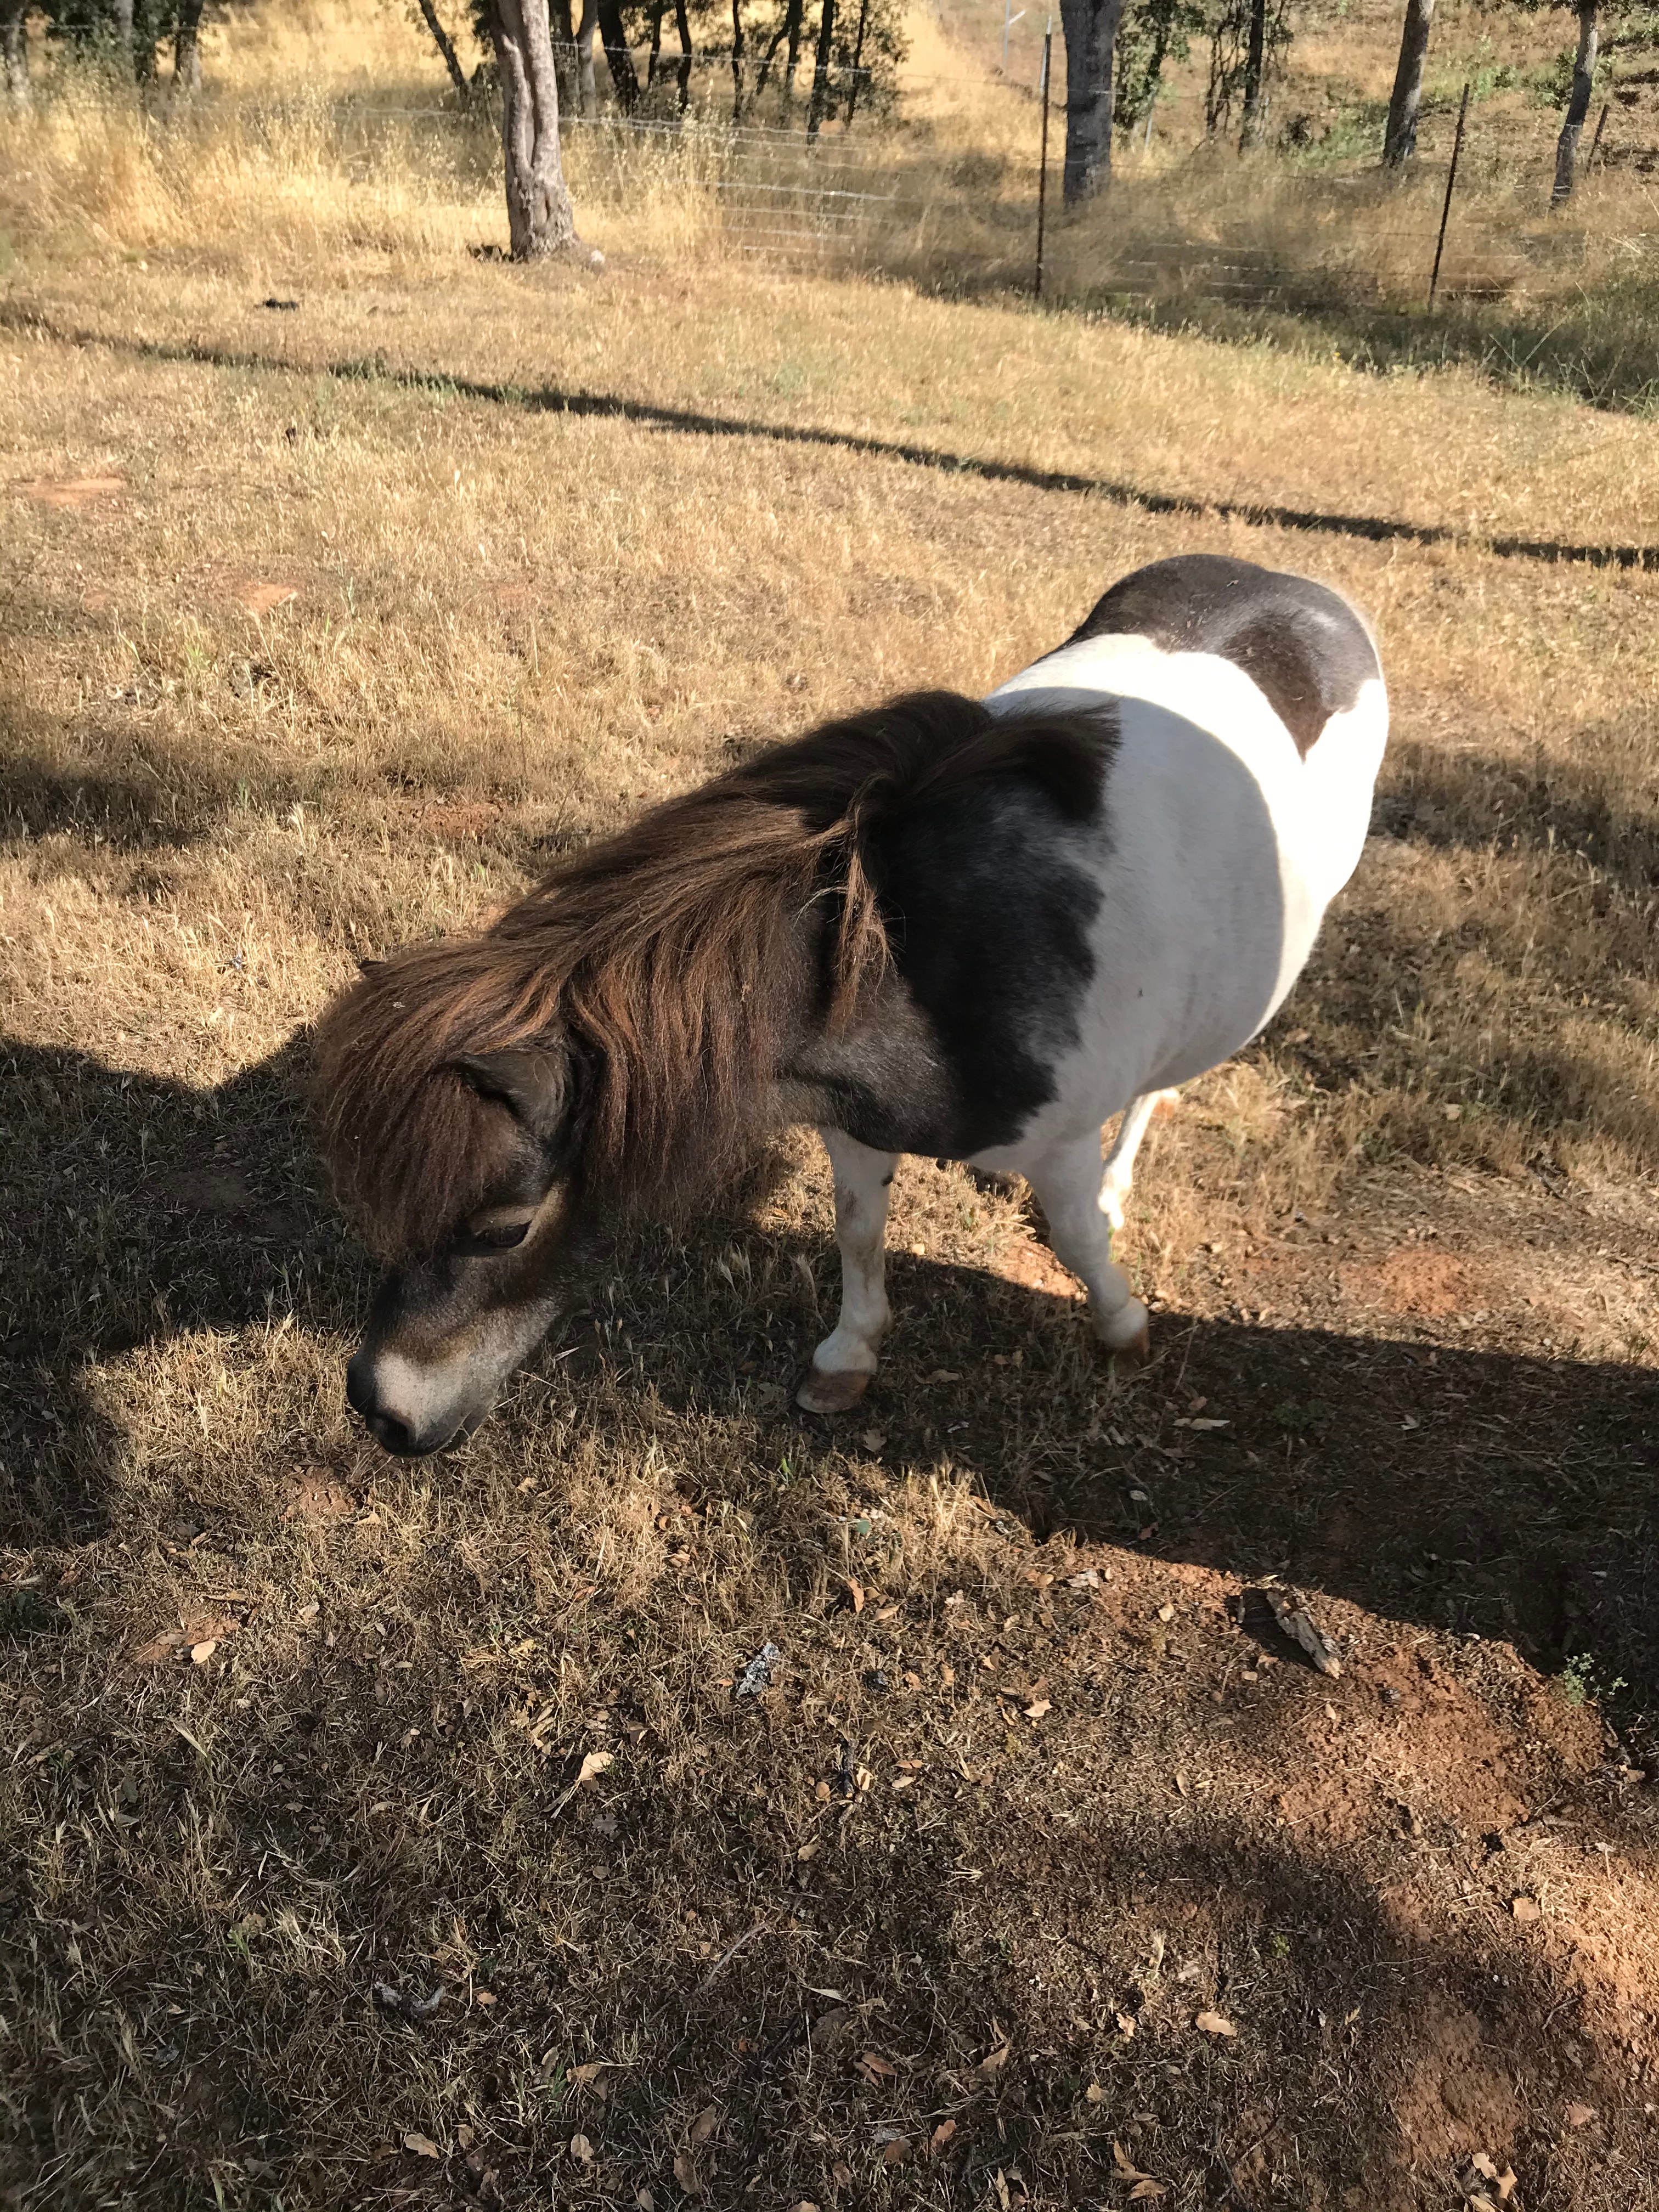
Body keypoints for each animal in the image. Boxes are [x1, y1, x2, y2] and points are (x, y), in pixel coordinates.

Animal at [313, 554, 1387, 1458]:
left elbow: (1082, 1241)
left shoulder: (1057, 1146)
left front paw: (1123, 1327)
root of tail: (1289, 584)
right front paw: (848, 1358)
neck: (920, 962)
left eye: (505, 1227)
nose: (380, 1410)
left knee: (1160, 1093)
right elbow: (857, 1228)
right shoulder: (852, 1119)